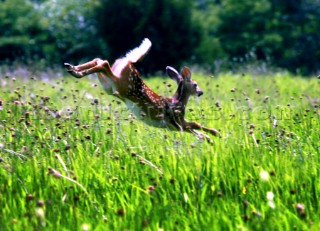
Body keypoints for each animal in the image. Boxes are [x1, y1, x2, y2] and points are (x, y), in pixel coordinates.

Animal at [65, 38, 220, 141]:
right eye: (195, 84)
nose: (201, 92)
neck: (178, 101)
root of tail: (131, 62)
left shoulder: (174, 126)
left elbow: (194, 129)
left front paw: (208, 138)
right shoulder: (177, 120)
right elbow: (195, 124)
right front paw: (215, 134)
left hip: (110, 85)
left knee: (99, 60)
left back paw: (72, 69)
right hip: (121, 84)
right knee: (104, 63)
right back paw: (75, 71)